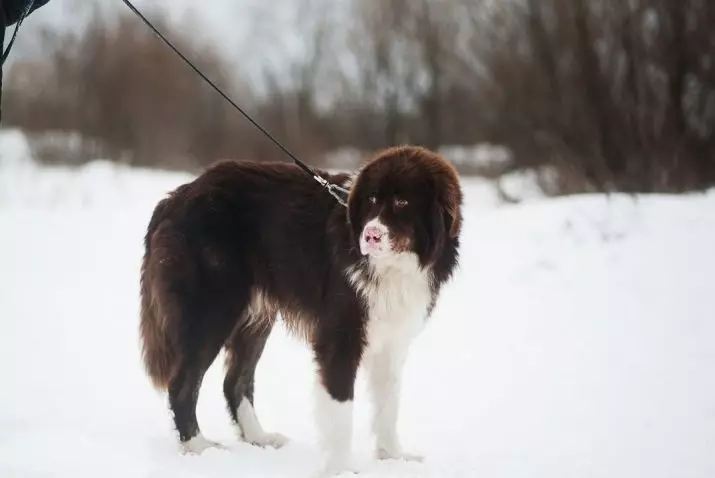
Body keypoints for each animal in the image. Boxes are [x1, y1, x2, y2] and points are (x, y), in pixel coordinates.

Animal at [140, 146, 464, 474]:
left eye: (402, 202)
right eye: (372, 200)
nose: (370, 235)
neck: (392, 265)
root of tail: (176, 196)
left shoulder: (392, 340)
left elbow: (388, 405)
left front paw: (393, 457)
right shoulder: (340, 339)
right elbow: (341, 409)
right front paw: (341, 469)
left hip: (254, 319)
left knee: (235, 382)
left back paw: (258, 438)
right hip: (213, 311)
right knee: (182, 384)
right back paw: (198, 447)